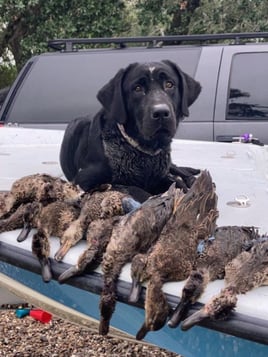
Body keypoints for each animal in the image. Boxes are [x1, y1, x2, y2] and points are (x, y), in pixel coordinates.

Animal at [60, 59, 201, 196]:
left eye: (169, 84)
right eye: (137, 88)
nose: (161, 112)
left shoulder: (161, 176)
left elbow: (177, 184)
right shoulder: (83, 181)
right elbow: (132, 188)